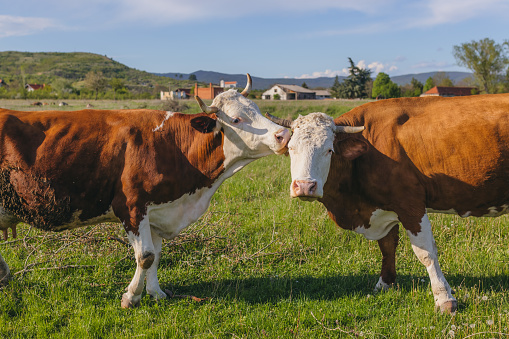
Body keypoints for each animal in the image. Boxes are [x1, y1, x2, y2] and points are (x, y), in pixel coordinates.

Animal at [0, 74, 290, 308]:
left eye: (258, 109)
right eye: (237, 119)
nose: (284, 135)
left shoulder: (159, 209)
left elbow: (157, 254)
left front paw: (156, 292)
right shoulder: (131, 206)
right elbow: (146, 256)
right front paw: (132, 297)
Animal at [266, 93, 508, 314]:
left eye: (329, 150)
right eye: (291, 149)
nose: (304, 186)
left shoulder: (411, 205)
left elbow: (426, 253)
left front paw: (444, 298)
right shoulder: (384, 207)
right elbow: (387, 246)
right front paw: (385, 283)